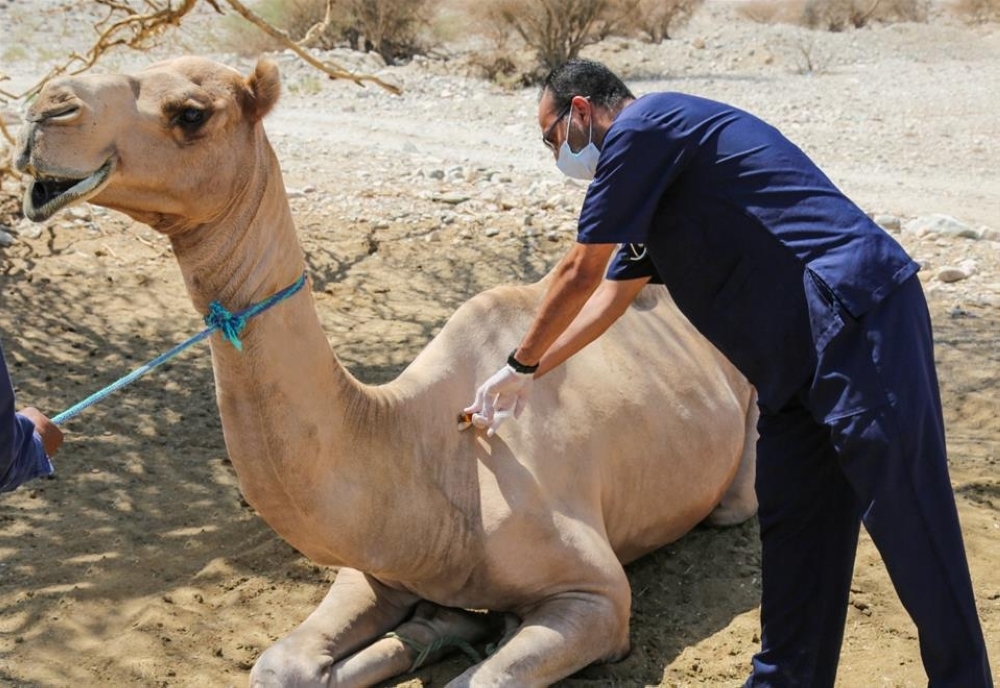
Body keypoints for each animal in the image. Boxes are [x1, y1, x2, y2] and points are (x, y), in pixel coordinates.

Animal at [14, 56, 759, 687]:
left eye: (191, 113)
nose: (44, 111)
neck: (427, 450)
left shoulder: (599, 595)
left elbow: (481, 677)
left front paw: (464, 631)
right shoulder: (377, 564)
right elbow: (281, 665)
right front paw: (441, 624)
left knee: (735, 496)